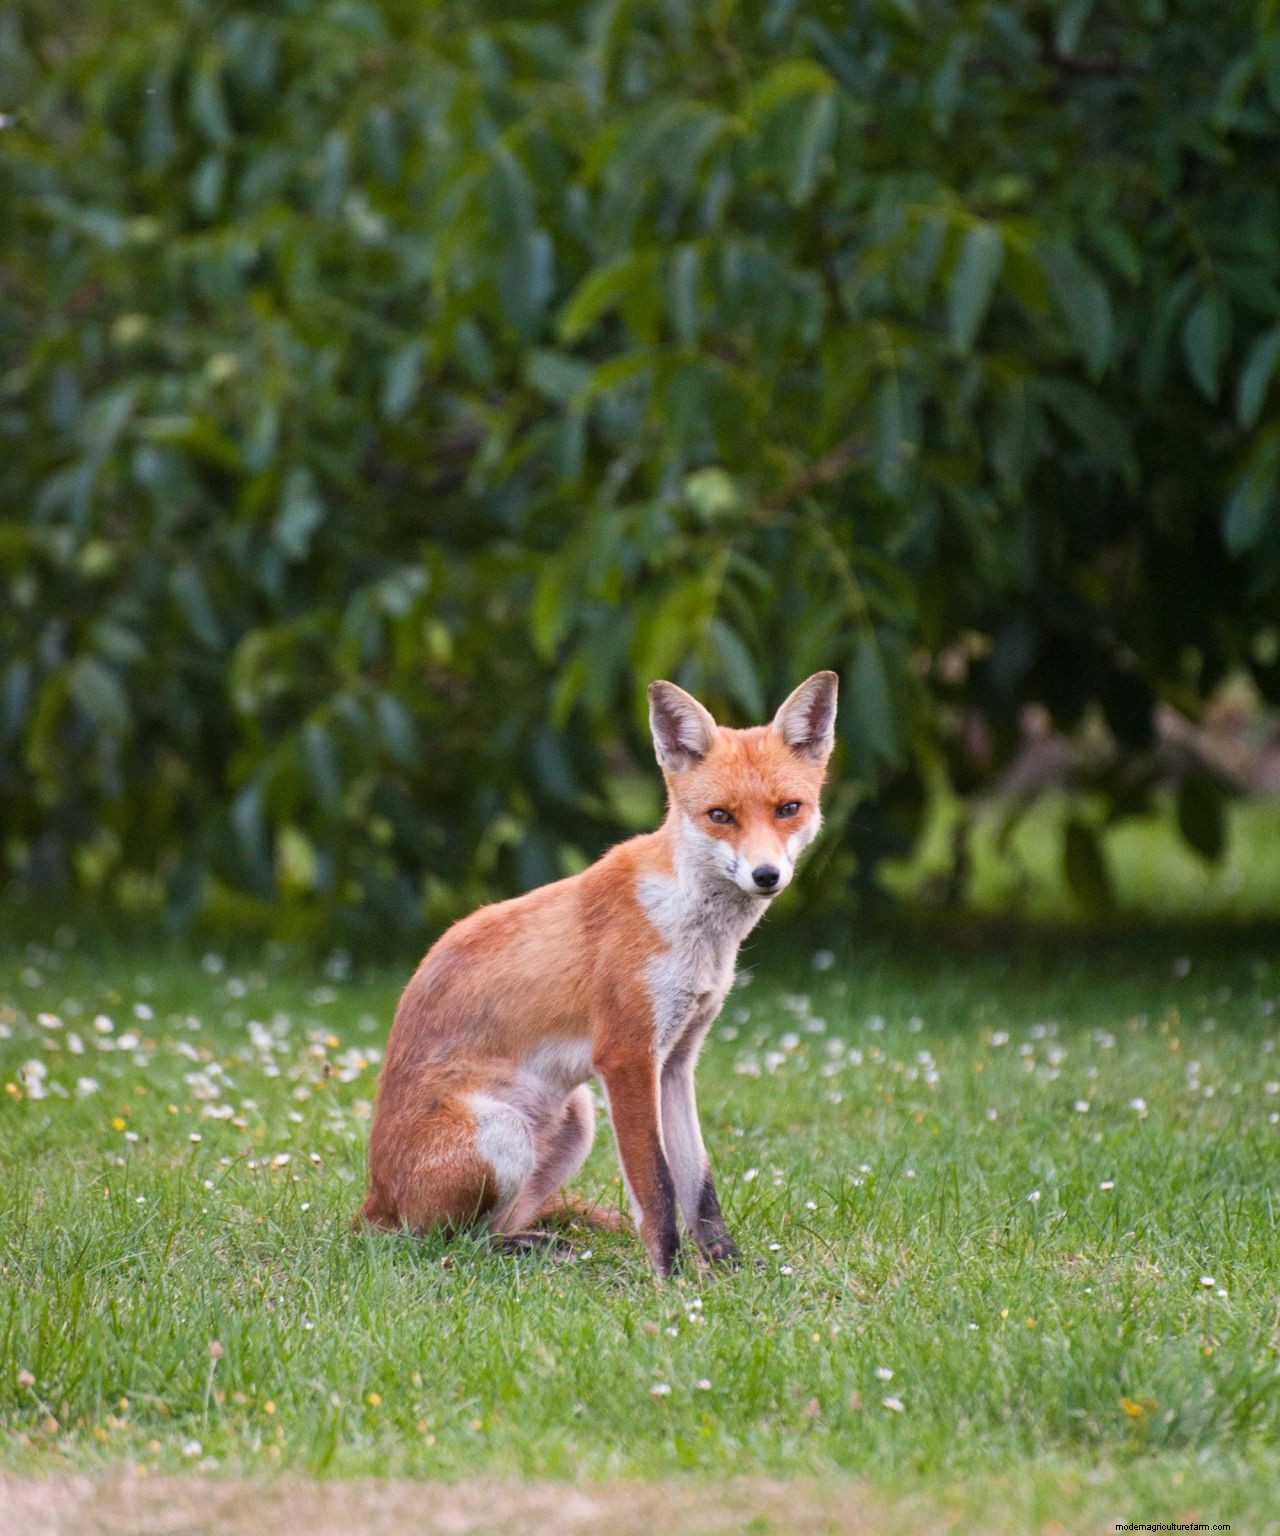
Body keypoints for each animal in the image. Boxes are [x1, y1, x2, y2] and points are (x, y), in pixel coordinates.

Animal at [357, 671, 838, 1275]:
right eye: (720, 816)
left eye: (788, 808)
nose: (766, 875)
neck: (691, 927)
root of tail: (372, 1201)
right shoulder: (627, 1056)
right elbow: (657, 1185)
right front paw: (671, 1277)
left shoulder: (676, 1061)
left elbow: (699, 1186)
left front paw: (727, 1268)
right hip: (503, 1136)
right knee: (444, 1244)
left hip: (576, 1119)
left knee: (494, 1228)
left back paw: (534, 1243)